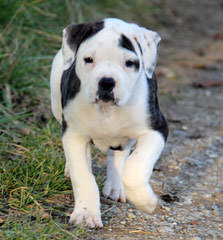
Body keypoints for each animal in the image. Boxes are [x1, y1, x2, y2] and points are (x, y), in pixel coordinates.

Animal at [50, 17, 167, 228]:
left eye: (129, 63)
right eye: (88, 59)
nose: (106, 82)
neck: (106, 111)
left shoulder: (156, 130)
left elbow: (135, 169)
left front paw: (145, 201)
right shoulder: (74, 134)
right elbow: (83, 176)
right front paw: (86, 213)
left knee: (119, 155)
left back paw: (115, 186)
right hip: (57, 105)